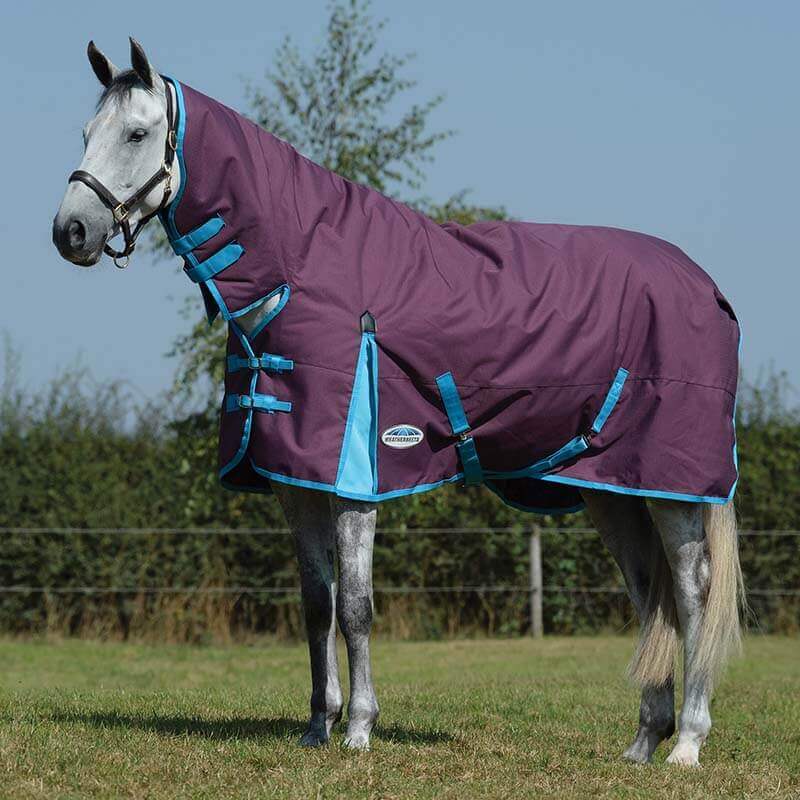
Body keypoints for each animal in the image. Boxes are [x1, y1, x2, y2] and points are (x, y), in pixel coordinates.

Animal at [53, 38, 744, 765]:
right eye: (87, 132)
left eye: (136, 133)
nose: (71, 232)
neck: (297, 272)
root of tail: (705, 286)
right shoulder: (297, 481)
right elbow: (316, 604)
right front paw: (316, 726)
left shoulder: (357, 477)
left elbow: (356, 606)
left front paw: (359, 728)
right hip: (610, 487)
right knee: (648, 596)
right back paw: (643, 741)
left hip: (674, 487)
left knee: (692, 594)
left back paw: (686, 743)